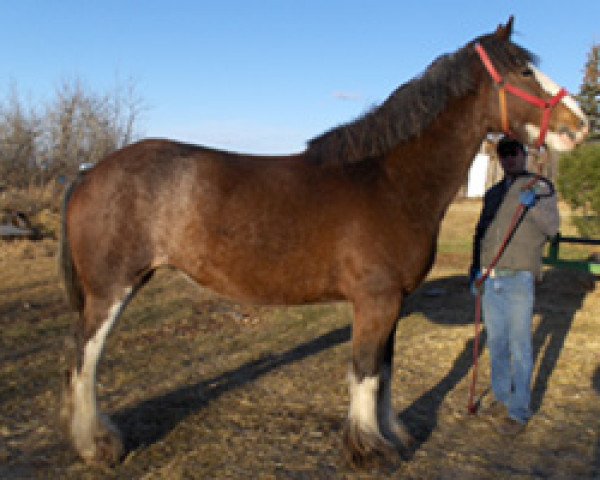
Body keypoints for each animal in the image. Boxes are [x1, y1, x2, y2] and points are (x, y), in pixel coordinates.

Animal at [59, 17, 584, 464]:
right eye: (523, 69)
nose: (580, 125)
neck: (388, 181)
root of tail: (88, 172)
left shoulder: (392, 301)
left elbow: (384, 371)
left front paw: (391, 435)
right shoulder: (375, 300)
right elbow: (365, 372)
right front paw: (369, 451)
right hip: (112, 289)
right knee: (85, 359)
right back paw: (96, 446)